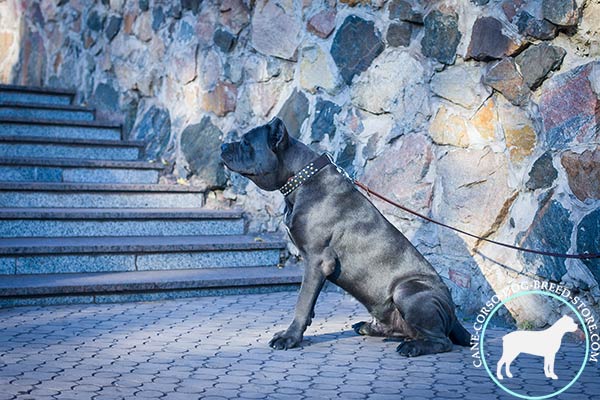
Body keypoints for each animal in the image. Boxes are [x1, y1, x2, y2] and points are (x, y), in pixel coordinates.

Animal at [221, 116, 474, 356]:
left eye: (245, 142)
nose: (223, 145)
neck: (301, 178)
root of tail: (453, 313)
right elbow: (308, 302)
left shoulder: (317, 259)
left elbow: (302, 301)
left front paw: (289, 337)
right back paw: (371, 328)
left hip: (407, 291)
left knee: (441, 341)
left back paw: (414, 347)